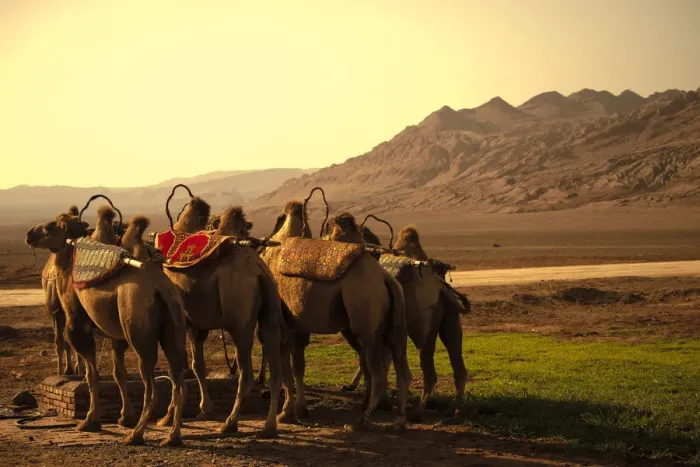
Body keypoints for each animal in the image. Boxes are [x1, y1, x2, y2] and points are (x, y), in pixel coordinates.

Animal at [25, 208, 188, 446]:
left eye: (49, 226)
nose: (29, 234)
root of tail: (161, 287)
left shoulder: (78, 323)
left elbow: (92, 374)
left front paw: (90, 421)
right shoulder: (117, 335)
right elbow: (118, 373)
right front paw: (124, 418)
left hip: (138, 329)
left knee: (151, 386)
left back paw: (136, 435)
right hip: (173, 325)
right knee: (177, 379)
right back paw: (172, 436)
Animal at [163, 198, 291, 437]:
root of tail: (259, 271)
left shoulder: (181, 323)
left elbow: (179, 368)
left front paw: (168, 416)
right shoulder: (198, 326)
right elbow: (197, 366)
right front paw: (205, 410)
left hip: (239, 322)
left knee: (246, 374)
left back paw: (230, 422)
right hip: (269, 315)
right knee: (275, 370)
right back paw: (269, 426)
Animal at [260, 201, 411, 431]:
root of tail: (385, 278)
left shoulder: (283, 325)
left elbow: (287, 369)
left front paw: (286, 412)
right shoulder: (297, 327)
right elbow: (298, 368)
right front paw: (299, 410)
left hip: (365, 321)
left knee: (378, 374)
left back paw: (360, 421)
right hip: (386, 324)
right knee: (399, 369)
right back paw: (399, 420)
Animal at [328, 218, 470, 420]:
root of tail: (440, 287)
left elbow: (371, 358)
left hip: (420, 327)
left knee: (429, 370)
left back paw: (418, 411)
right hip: (450, 320)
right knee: (458, 365)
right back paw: (456, 410)